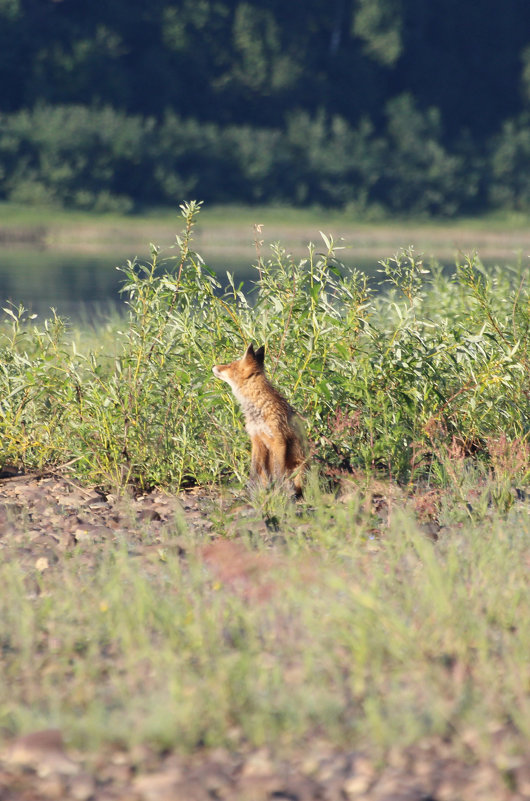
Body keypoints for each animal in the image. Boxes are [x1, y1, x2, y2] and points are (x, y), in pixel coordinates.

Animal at [212, 342, 308, 494]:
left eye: (230, 365)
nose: (214, 365)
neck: (258, 411)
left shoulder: (279, 441)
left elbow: (278, 472)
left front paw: (279, 491)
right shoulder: (257, 439)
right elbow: (253, 472)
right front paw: (250, 491)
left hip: (300, 468)